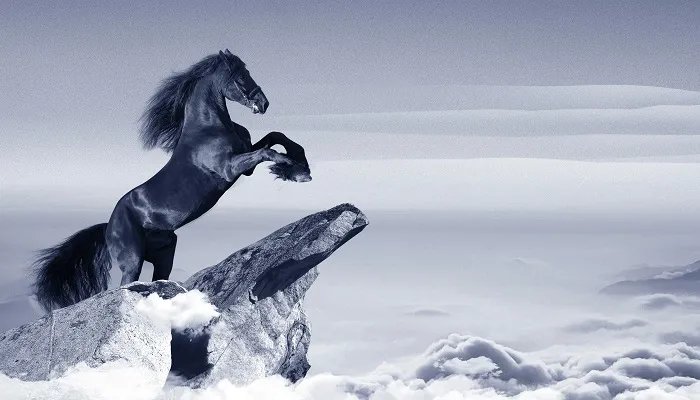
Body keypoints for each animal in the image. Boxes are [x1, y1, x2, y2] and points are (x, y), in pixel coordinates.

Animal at [33, 49, 312, 311]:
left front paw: (299, 164)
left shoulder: (245, 164)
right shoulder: (229, 168)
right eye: (241, 75)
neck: (207, 128)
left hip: (164, 253)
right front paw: (294, 170)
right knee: (126, 285)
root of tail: (108, 227)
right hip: (132, 260)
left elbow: (275, 136)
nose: (263, 103)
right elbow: (267, 151)